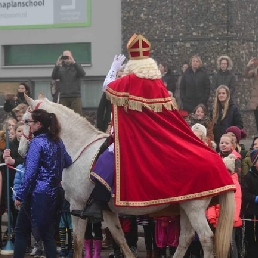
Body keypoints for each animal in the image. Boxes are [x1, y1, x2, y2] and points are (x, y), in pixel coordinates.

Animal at [19, 95, 235, 258]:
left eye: (25, 120)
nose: (20, 151)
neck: (79, 149)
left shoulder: (77, 205)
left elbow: (79, 242)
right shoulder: (106, 209)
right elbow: (120, 238)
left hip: (195, 208)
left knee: (206, 239)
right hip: (186, 206)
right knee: (186, 238)